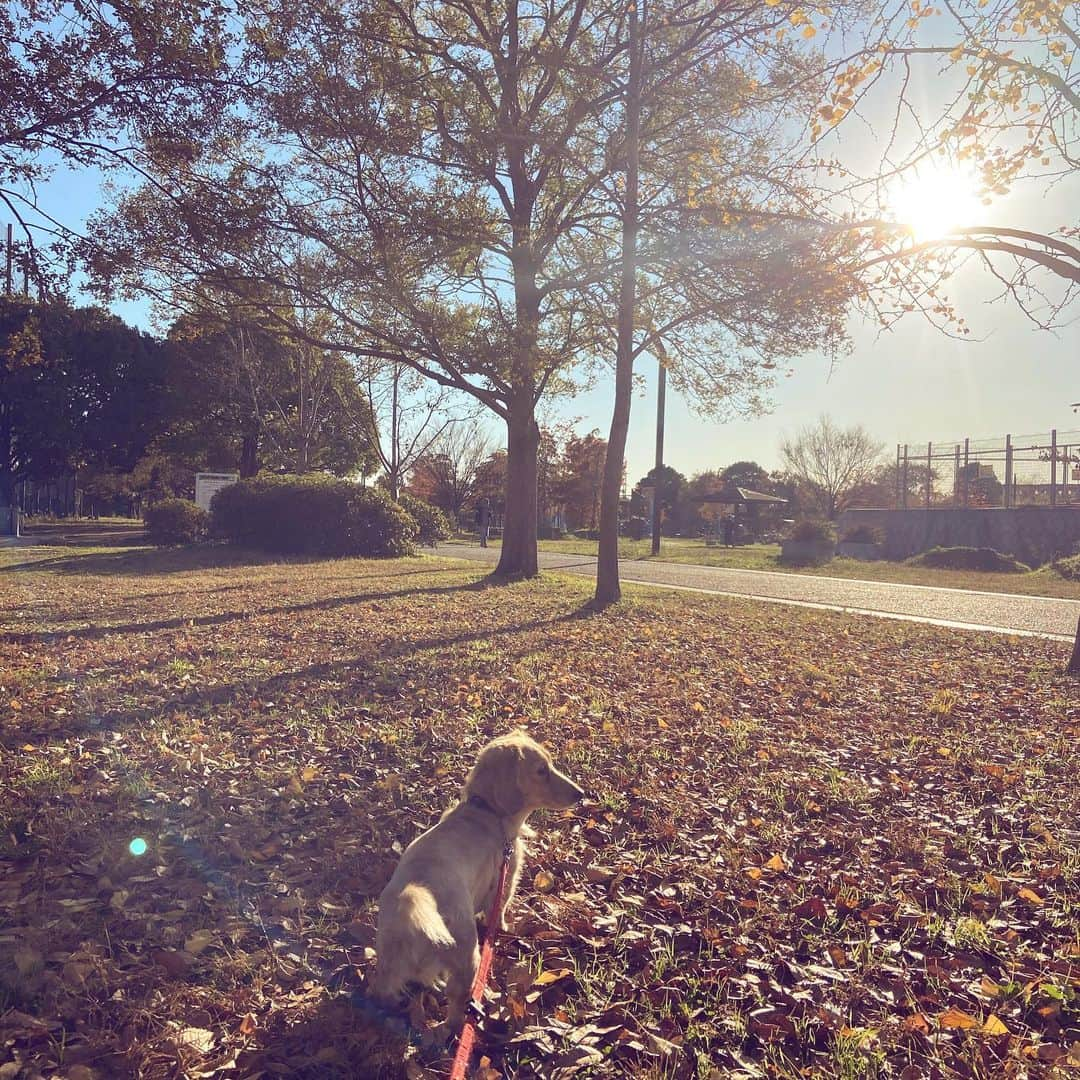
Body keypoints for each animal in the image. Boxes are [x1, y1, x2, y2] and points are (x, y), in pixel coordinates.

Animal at [378, 734, 587, 1028]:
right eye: (541, 771)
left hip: (390, 969)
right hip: (468, 957)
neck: (487, 812)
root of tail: (413, 894)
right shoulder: (506, 880)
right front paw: (503, 929)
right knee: (456, 1007)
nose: (581, 794)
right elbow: (499, 912)